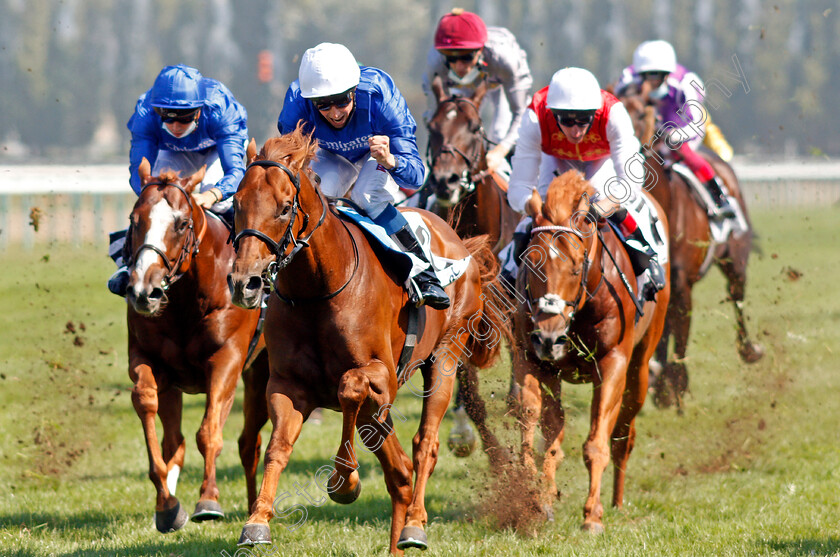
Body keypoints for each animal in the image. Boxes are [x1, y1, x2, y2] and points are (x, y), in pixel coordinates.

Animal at [124, 159, 268, 532]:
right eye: (134, 220)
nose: (143, 292)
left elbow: (209, 433)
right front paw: (167, 506)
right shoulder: (148, 360)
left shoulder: (227, 360)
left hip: (262, 373)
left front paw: (209, 500)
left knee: (249, 442)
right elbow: (147, 405)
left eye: (181, 223)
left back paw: (253, 506)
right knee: (177, 441)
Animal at [226, 125, 508, 552]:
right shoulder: (287, 385)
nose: (246, 283)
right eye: (235, 205)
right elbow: (278, 446)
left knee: (425, 444)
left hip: (445, 355)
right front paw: (257, 522)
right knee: (399, 471)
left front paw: (344, 483)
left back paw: (415, 526)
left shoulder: (383, 376)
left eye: (284, 208)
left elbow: (349, 386)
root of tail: (458, 240)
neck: (318, 289)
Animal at [512, 172, 668, 532]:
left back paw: (617, 501)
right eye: (530, 263)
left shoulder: (612, 364)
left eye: (574, 266)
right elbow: (535, 423)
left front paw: (592, 516)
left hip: (640, 367)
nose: (549, 337)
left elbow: (596, 443)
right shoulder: (532, 359)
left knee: (623, 434)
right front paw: (536, 496)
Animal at [616, 87, 760, 408]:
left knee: (737, 296)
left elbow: (680, 338)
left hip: (736, 258)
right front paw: (661, 382)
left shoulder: (683, 286)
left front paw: (676, 386)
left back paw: (749, 349)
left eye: (642, 112)